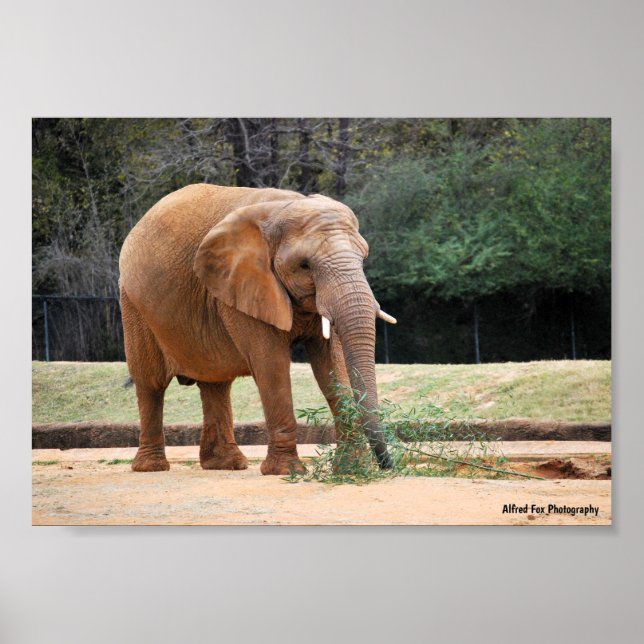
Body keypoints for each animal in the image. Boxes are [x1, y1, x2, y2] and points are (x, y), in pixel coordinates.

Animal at [118, 183, 397, 475]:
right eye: (304, 265)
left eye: (362, 259)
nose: (388, 466)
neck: (285, 206)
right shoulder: (243, 285)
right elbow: (271, 365)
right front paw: (286, 471)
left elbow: (332, 364)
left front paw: (351, 469)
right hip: (134, 304)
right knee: (151, 384)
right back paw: (151, 467)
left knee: (216, 383)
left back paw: (226, 465)